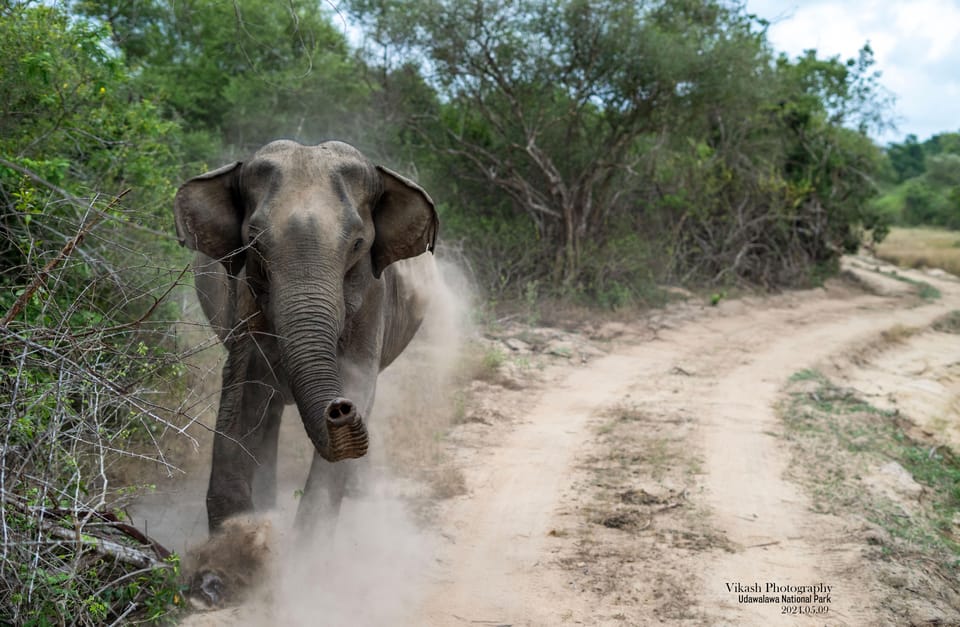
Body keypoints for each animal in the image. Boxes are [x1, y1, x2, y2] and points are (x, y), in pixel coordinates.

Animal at [174, 140, 436, 532]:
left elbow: (358, 377)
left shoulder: (373, 297)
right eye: (253, 243)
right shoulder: (244, 296)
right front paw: (238, 534)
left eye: (358, 244)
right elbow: (243, 384)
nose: (339, 409)